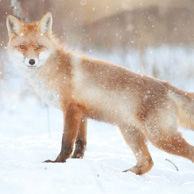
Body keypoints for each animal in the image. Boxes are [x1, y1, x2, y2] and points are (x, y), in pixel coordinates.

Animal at [5, 12, 194, 175]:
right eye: (22, 47)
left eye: (39, 47)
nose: (31, 61)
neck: (53, 70)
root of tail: (166, 86)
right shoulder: (81, 113)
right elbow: (80, 144)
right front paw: (76, 162)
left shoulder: (71, 109)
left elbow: (66, 142)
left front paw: (58, 163)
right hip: (131, 133)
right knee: (147, 162)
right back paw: (128, 174)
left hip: (160, 137)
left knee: (186, 152)